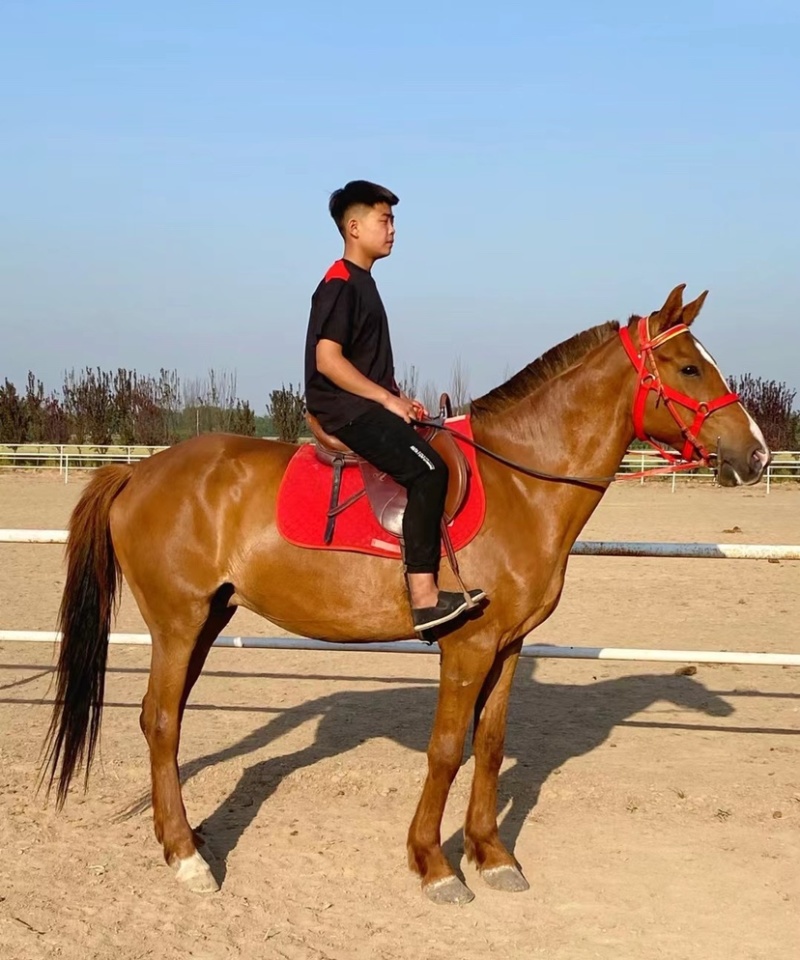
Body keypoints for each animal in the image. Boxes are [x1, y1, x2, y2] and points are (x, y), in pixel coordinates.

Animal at [41, 284, 770, 905]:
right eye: (688, 368)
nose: (759, 456)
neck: (521, 484)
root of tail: (138, 472)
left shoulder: (508, 645)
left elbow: (490, 745)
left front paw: (491, 855)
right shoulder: (467, 645)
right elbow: (446, 750)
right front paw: (435, 864)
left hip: (208, 619)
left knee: (164, 720)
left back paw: (187, 839)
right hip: (179, 620)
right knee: (162, 721)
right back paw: (187, 858)